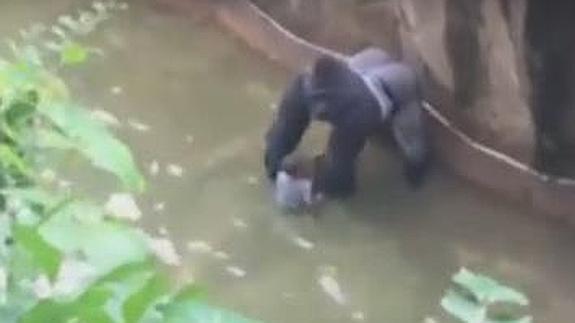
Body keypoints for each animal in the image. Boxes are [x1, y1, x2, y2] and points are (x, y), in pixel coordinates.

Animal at [264, 48, 430, 199]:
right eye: (316, 97)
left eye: (328, 97)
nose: (321, 109)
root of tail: (397, 61)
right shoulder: (300, 86)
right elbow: (287, 127)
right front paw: (275, 164)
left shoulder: (358, 111)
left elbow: (338, 158)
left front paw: (323, 187)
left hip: (407, 83)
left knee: (411, 143)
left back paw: (416, 170)